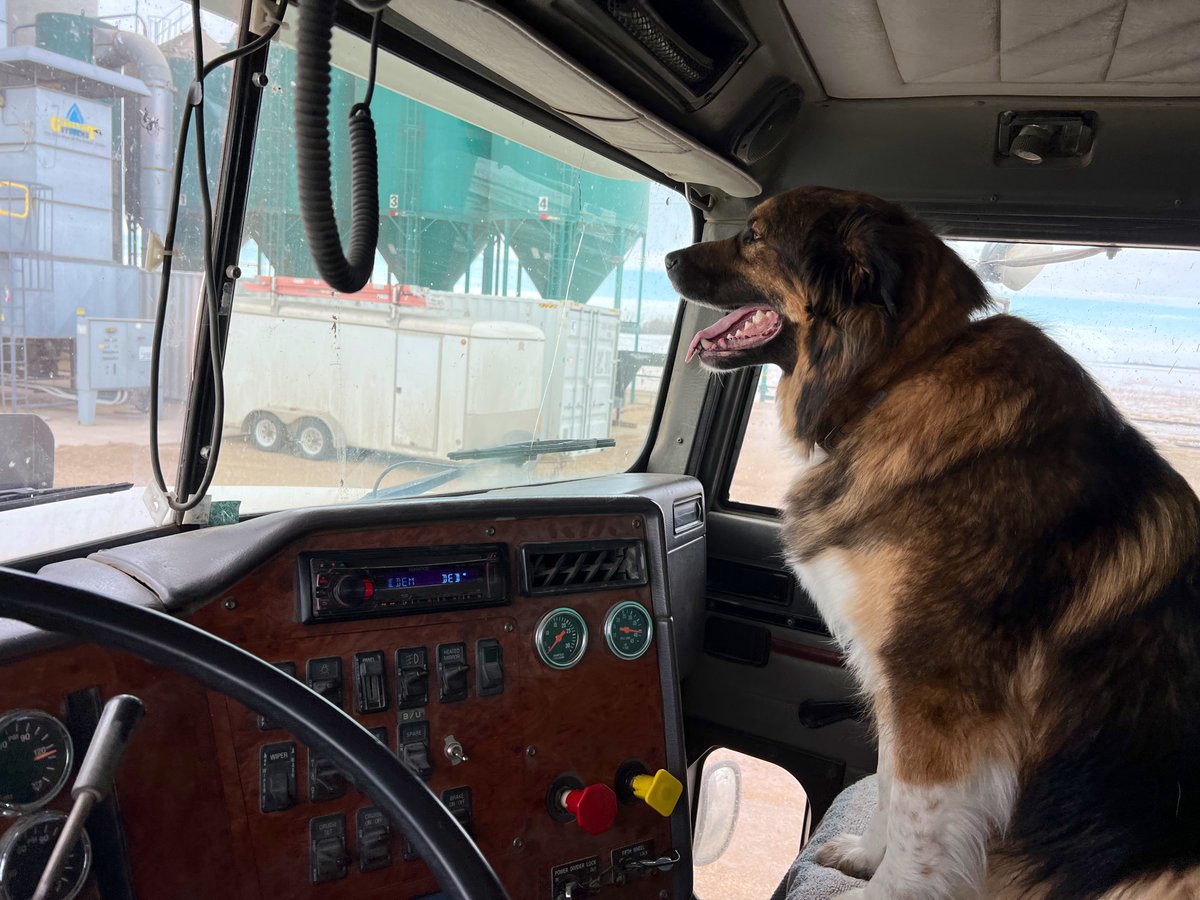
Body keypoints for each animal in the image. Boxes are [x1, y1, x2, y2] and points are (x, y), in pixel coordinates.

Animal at [667, 184, 1200, 900]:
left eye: (753, 236)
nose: (667, 256)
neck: (899, 376)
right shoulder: (896, 682)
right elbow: (895, 787)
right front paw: (866, 856)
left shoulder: (938, 690)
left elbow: (921, 829)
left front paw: (884, 889)